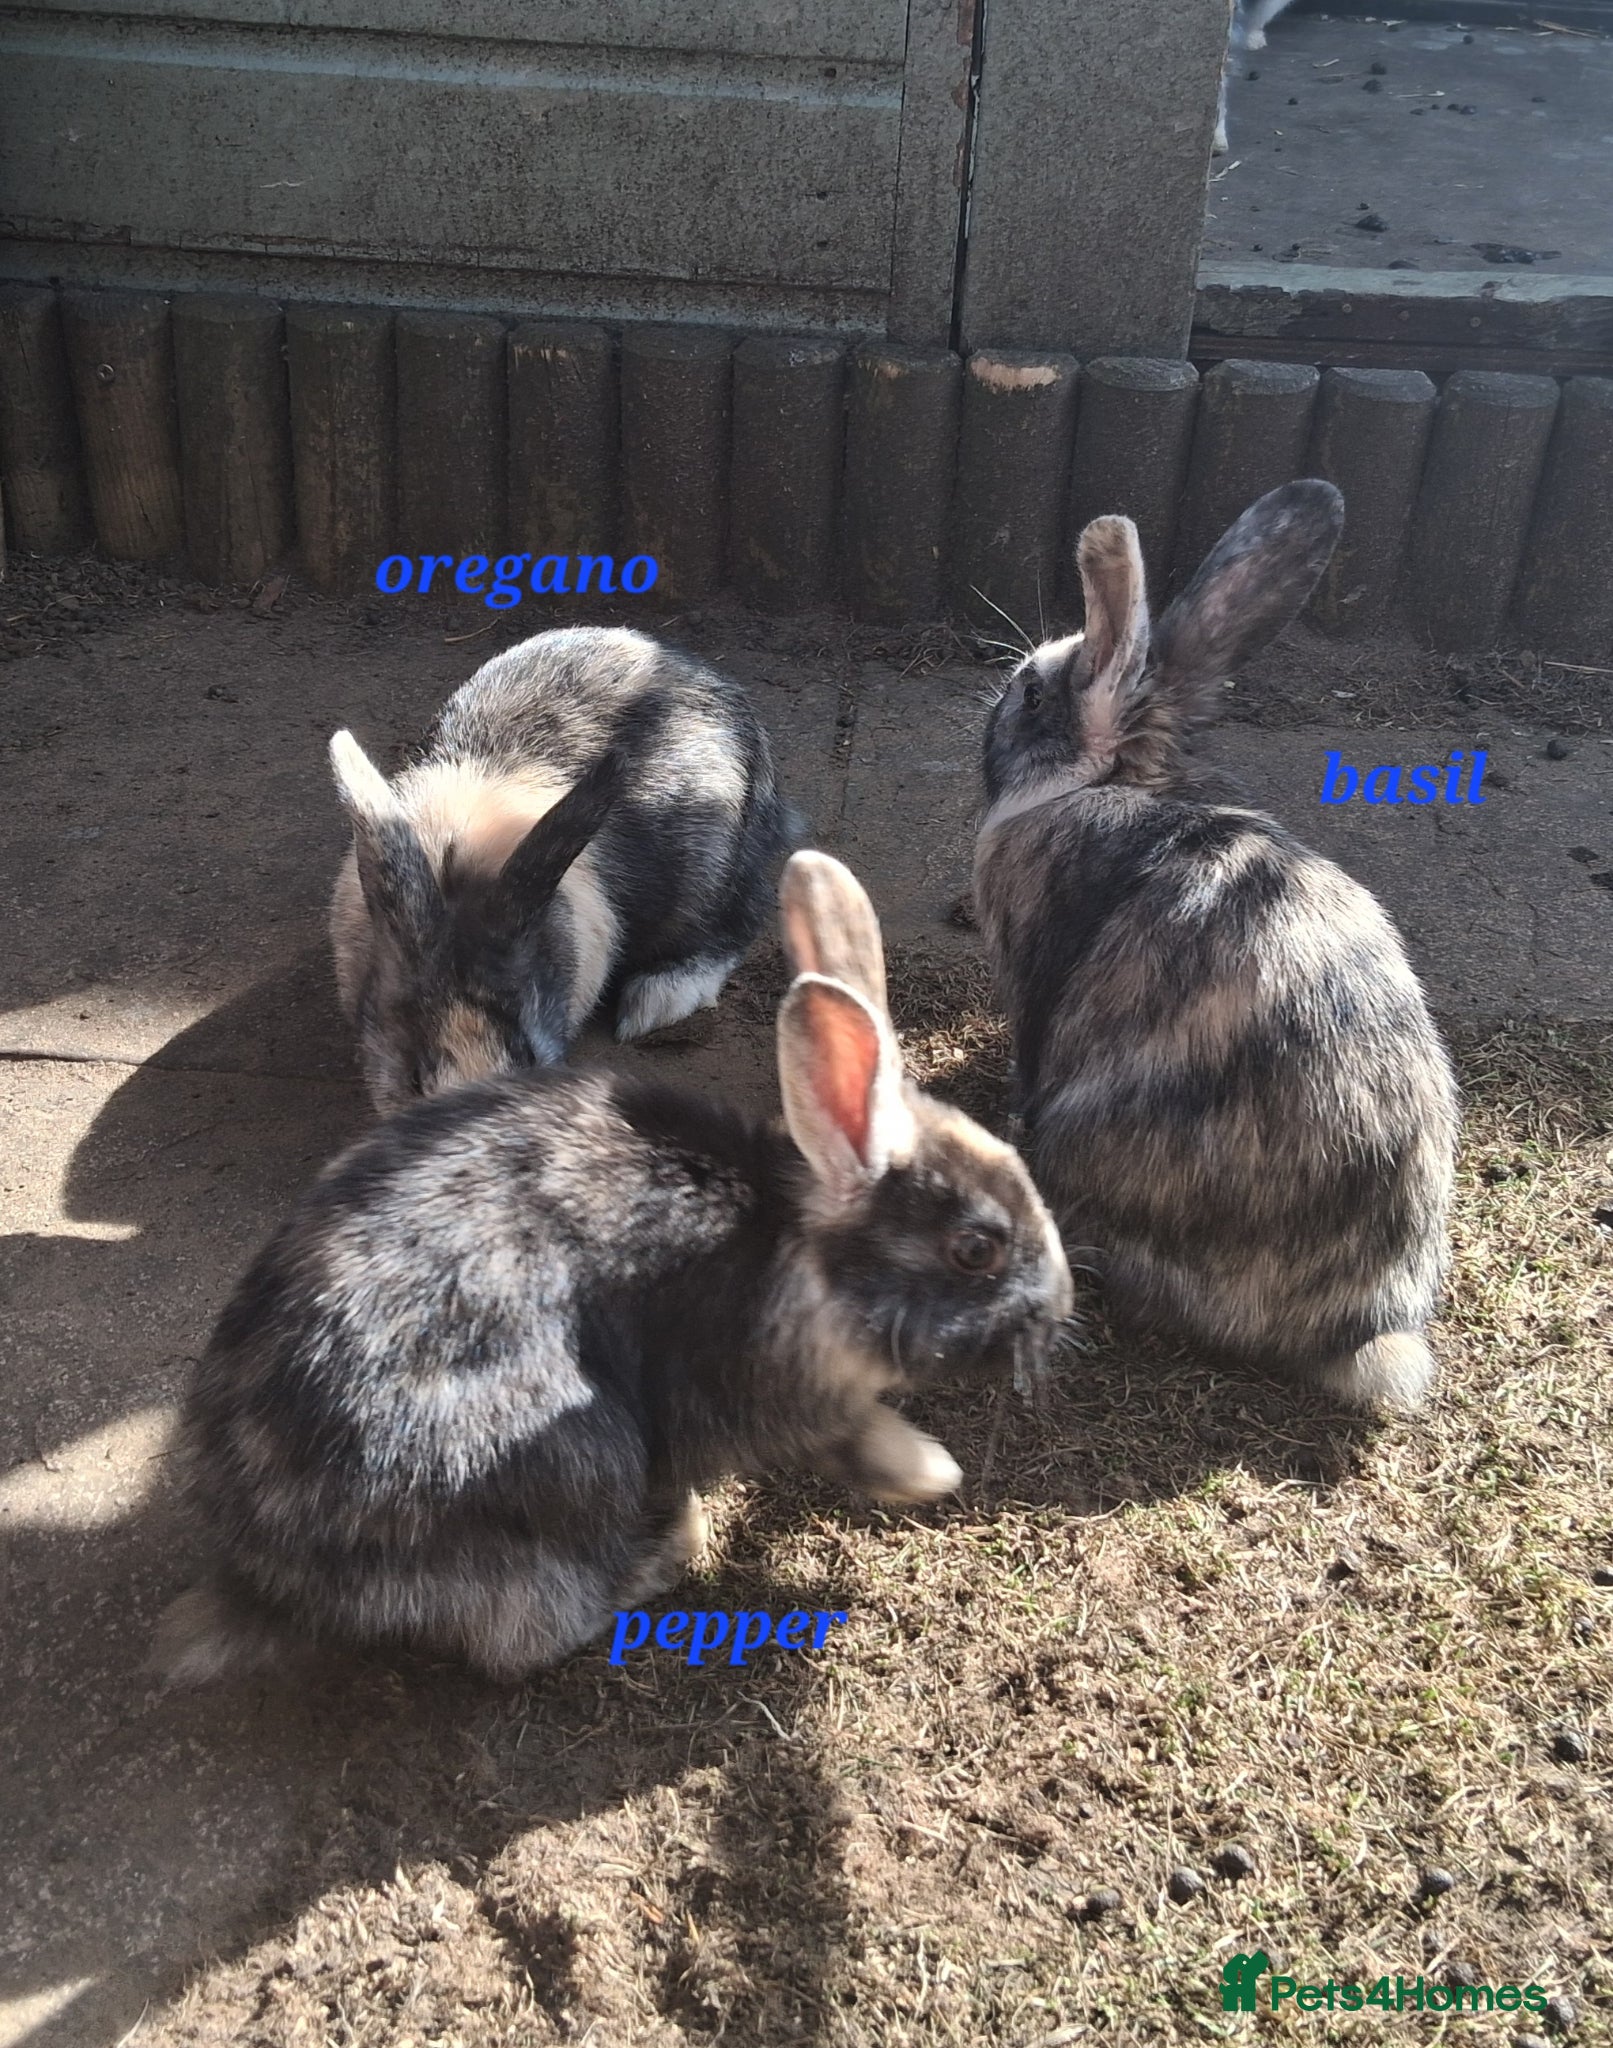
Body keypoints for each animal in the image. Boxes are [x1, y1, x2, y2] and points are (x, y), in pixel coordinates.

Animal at [156, 851, 1073, 1685]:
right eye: (976, 1248)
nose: (1058, 1308)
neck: (801, 1253)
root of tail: (271, 1582)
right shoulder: (785, 1400)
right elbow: (857, 1441)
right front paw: (930, 1474)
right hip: (578, 1451)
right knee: (521, 1635)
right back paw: (670, 1546)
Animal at [329, 625, 803, 1113]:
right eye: (415, 1076)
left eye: (528, 1055)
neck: (456, 860)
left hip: (712, 870)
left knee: (736, 921)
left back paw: (655, 1002)